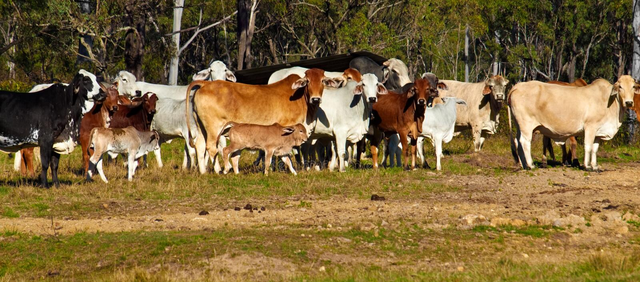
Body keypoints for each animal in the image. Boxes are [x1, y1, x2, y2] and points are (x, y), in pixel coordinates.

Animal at [186, 68, 344, 174]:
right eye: (308, 81)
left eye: (323, 80)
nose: (316, 99)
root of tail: (205, 84)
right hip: (214, 128)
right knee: (212, 148)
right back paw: (220, 170)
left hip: (202, 127)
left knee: (200, 146)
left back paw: (203, 171)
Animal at [508, 74, 636, 170]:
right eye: (620, 87)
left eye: (633, 87)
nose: (629, 102)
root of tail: (518, 86)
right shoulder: (590, 127)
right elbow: (588, 146)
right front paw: (587, 166)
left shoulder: (598, 132)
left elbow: (595, 149)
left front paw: (595, 166)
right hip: (526, 124)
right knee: (525, 141)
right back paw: (530, 165)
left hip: (519, 125)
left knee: (517, 141)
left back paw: (524, 165)